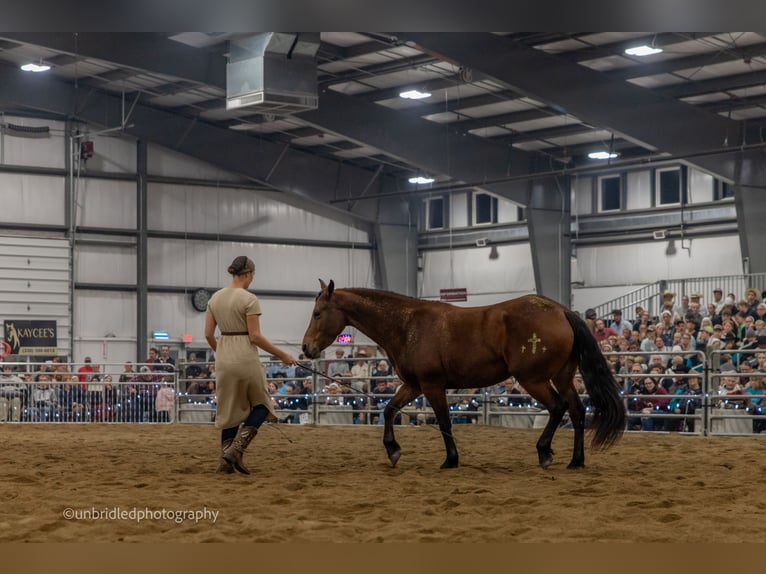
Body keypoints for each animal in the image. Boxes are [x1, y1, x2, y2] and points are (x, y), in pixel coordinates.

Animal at [301, 280, 626, 470]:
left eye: (317, 313)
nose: (306, 348)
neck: (407, 325)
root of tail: (560, 311)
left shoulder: (432, 386)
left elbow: (444, 422)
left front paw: (451, 460)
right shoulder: (414, 385)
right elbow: (390, 410)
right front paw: (393, 450)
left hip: (533, 380)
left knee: (558, 407)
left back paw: (545, 453)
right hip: (560, 377)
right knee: (577, 411)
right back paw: (576, 461)